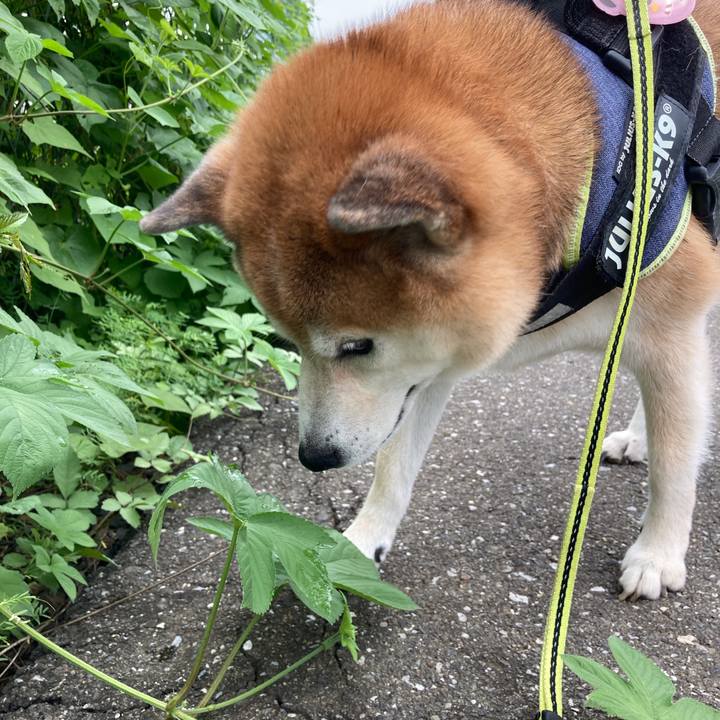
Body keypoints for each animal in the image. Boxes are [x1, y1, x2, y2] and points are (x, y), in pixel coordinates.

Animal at [141, 0, 720, 601]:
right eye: (289, 341)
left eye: (357, 346)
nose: (314, 458)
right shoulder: (427, 367)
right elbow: (393, 464)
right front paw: (360, 543)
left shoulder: (671, 338)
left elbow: (675, 466)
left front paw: (657, 554)